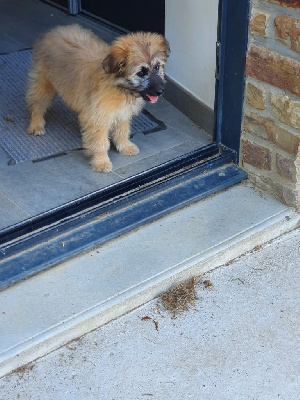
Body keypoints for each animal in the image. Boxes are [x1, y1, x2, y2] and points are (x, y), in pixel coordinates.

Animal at [27, 24, 170, 172]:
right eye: (141, 73)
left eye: (157, 67)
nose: (160, 91)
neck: (119, 87)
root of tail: (52, 31)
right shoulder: (99, 118)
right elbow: (101, 142)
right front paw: (101, 162)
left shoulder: (122, 114)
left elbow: (122, 132)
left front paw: (125, 146)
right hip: (44, 84)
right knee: (36, 103)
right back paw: (36, 125)